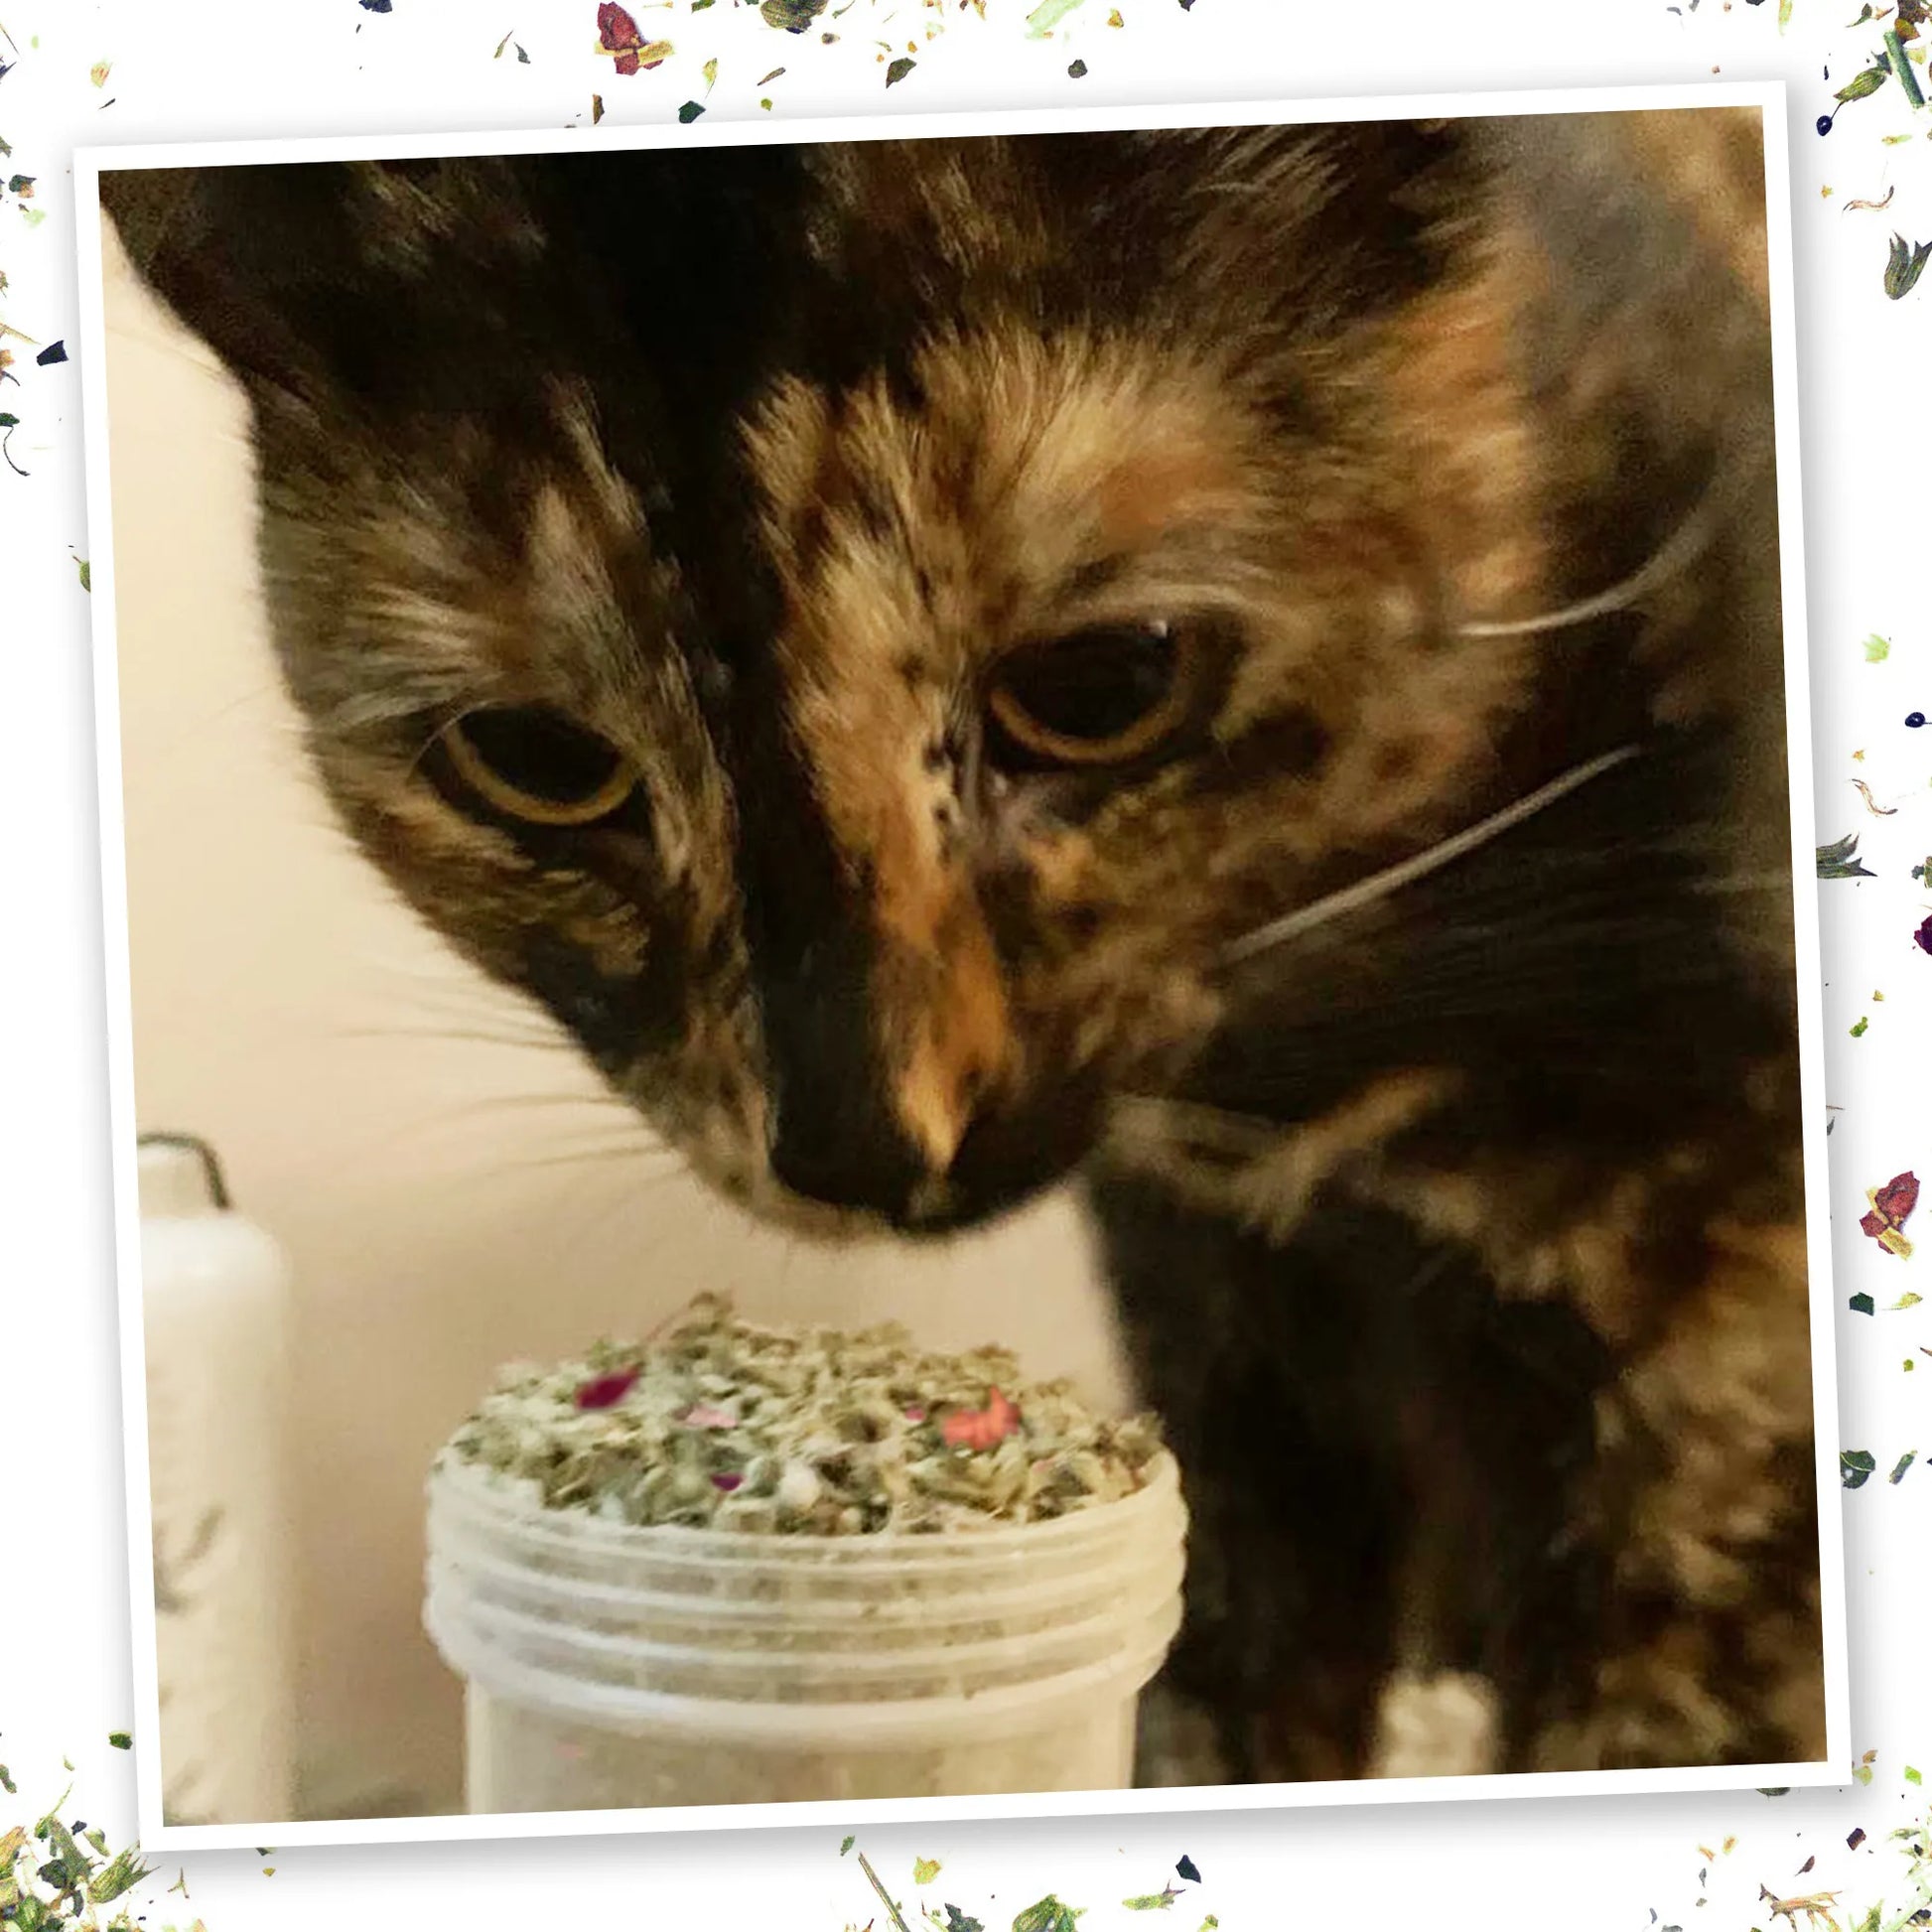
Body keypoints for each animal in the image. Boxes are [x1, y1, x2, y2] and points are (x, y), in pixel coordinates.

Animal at [101, 109, 1824, 1777]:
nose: (859, 1134)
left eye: (1104, 682)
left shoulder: (1721, 1372)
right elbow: (1230, 1688)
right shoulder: (1222, 1338)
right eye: (532, 757)